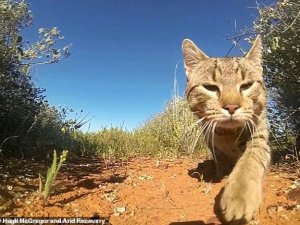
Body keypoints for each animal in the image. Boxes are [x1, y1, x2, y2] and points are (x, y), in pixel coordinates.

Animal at [182, 36, 270, 224]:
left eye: (247, 85)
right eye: (210, 87)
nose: (231, 107)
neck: (228, 135)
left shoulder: (259, 137)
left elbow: (250, 161)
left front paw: (239, 195)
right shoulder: (213, 146)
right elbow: (220, 163)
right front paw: (220, 176)